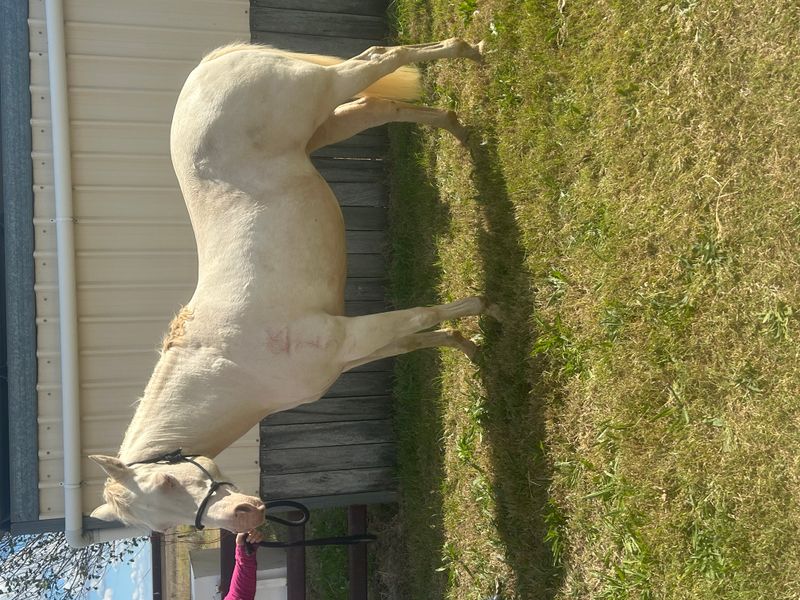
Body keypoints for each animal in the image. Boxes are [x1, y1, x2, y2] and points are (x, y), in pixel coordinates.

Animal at [88, 38, 499, 533]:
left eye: (167, 481)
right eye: (164, 526)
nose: (246, 515)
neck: (230, 364)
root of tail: (207, 68)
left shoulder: (348, 334)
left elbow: (425, 315)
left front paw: (491, 309)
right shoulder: (351, 351)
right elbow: (421, 338)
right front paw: (472, 347)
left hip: (327, 88)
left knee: (384, 57)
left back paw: (471, 54)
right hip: (325, 124)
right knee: (378, 107)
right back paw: (460, 128)